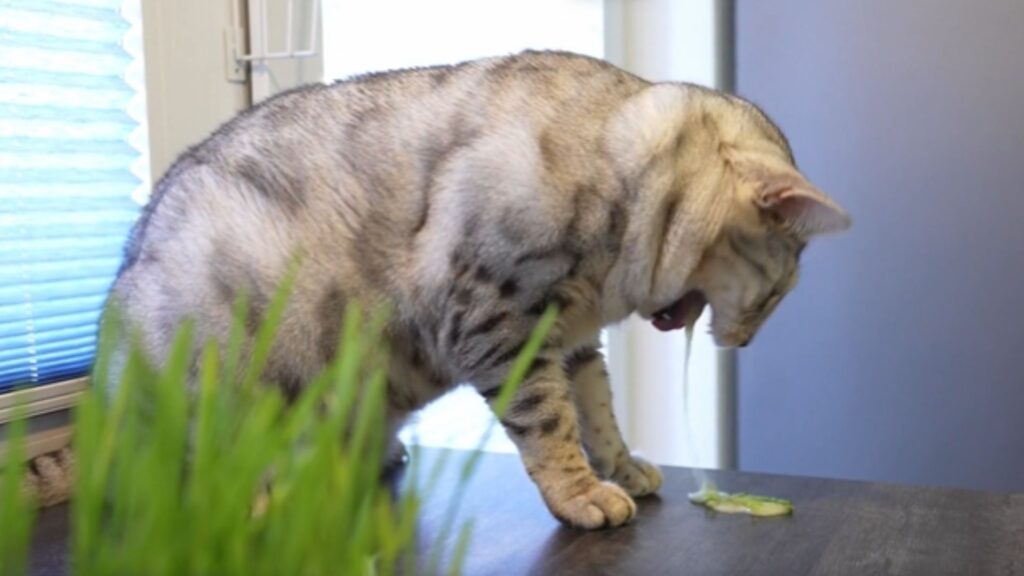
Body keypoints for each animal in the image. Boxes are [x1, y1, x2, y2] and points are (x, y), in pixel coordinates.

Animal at [22, 49, 847, 524]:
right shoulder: (498, 320)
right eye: (777, 294)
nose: (747, 340)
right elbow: (549, 423)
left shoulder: (573, 340)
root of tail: (100, 401)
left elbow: (598, 410)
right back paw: (257, 491)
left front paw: (623, 465)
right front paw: (582, 494)